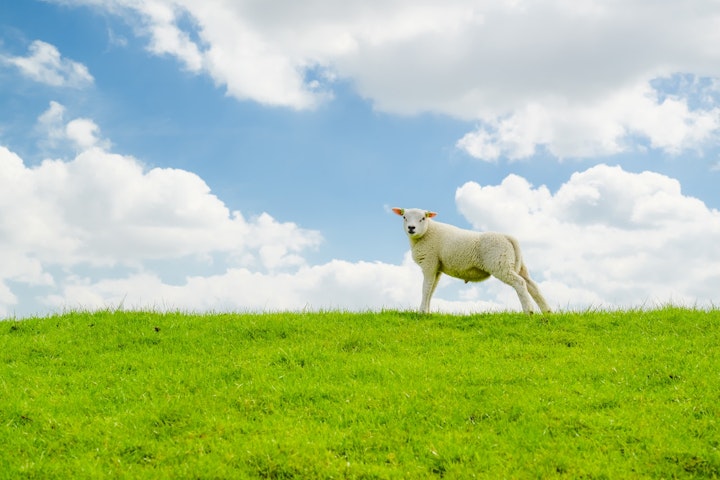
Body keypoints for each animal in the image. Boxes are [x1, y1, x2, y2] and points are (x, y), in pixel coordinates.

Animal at [394, 207, 552, 316]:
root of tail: (508, 237)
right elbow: (432, 289)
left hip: (500, 264)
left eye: (423, 218)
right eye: (404, 217)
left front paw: (421, 312)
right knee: (532, 285)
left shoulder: (429, 262)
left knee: (520, 283)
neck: (427, 233)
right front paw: (427, 311)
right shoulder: (436, 266)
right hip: (515, 264)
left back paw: (529, 312)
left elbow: (425, 288)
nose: (411, 228)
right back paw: (547, 312)